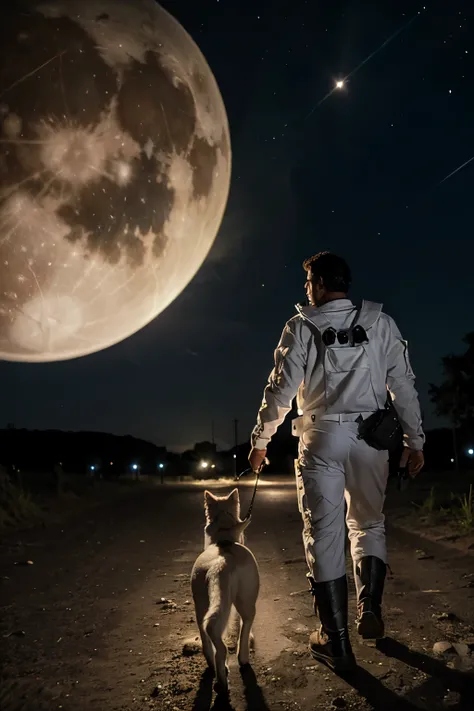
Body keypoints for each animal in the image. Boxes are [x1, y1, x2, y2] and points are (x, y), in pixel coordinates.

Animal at [191, 490, 262, 696]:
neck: (223, 539)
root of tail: (222, 562)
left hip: (201, 605)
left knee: (212, 641)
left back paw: (220, 676)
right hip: (246, 601)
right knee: (244, 627)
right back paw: (240, 660)